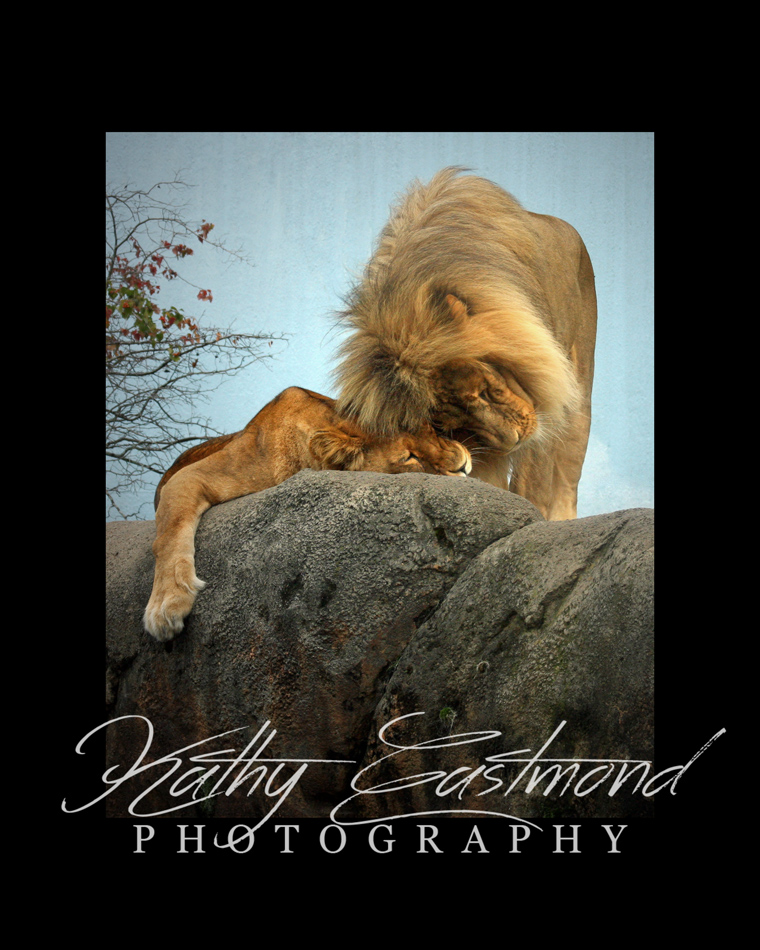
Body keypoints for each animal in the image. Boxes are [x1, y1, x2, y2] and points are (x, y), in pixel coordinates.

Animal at [144, 386, 472, 641]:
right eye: (409, 458)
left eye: (431, 430)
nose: (464, 466)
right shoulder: (188, 476)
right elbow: (168, 534)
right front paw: (166, 605)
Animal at [333, 167, 598, 521]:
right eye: (456, 423)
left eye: (485, 391)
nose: (514, 440)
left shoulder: (547, 399)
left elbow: (534, 479)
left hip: (580, 388)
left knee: (568, 471)